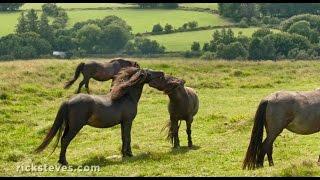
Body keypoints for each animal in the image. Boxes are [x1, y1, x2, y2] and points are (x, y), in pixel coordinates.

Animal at [35, 67, 164, 165]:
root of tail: (68, 101)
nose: (162, 73)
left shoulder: (123, 123)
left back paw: (61, 161)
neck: (125, 97)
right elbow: (128, 138)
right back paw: (64, 162)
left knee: (62, 140)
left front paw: (125, 154)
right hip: (75, 126)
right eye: (149, 72)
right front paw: (129, 154)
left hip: (69, 126)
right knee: (66, 140)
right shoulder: (128, 122)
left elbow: (123, 138)